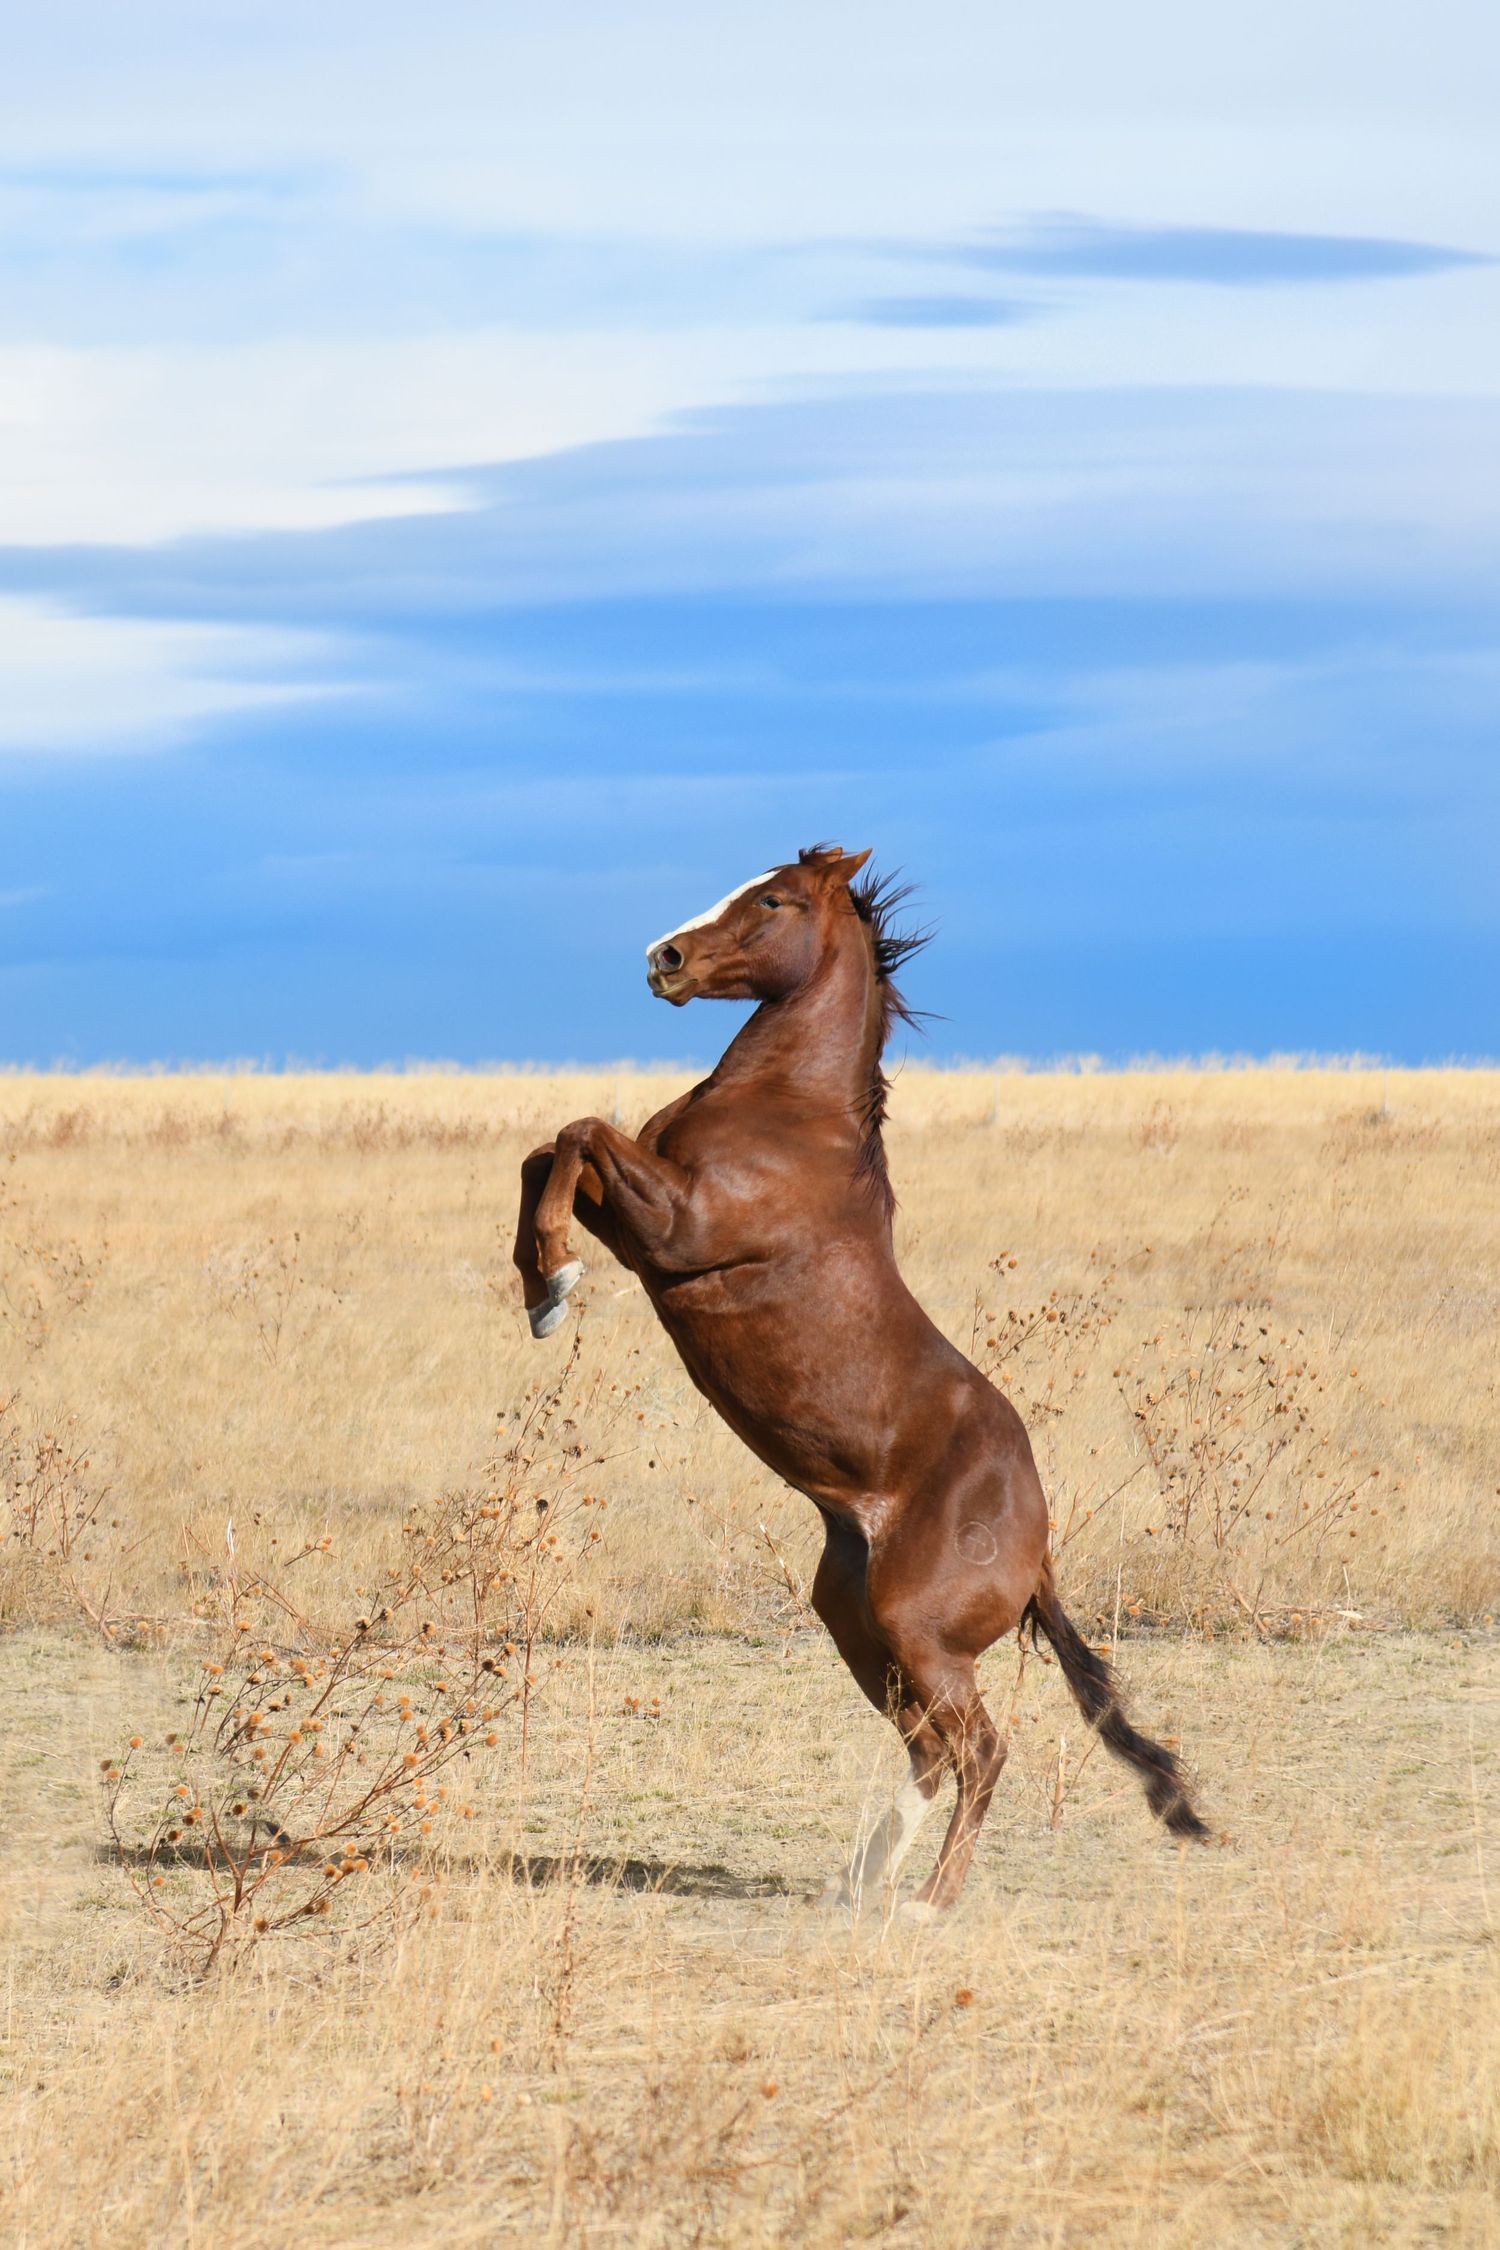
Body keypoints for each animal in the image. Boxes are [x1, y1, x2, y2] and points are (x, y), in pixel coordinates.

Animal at [513, 844, 1208, 1913]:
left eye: (773, 900)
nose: (664, 960)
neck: (790, 1115)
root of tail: (1039, 1545)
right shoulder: (637, 1224)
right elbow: (545, 1150)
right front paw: (537, 1283)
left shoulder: (677, 1228)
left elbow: (580, 1128)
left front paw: (553, 1281)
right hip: (856, 1623)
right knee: (930, 1752)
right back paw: (864, 1881)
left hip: (917, 1634)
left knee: (981, 1750)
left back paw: (928, 1904)